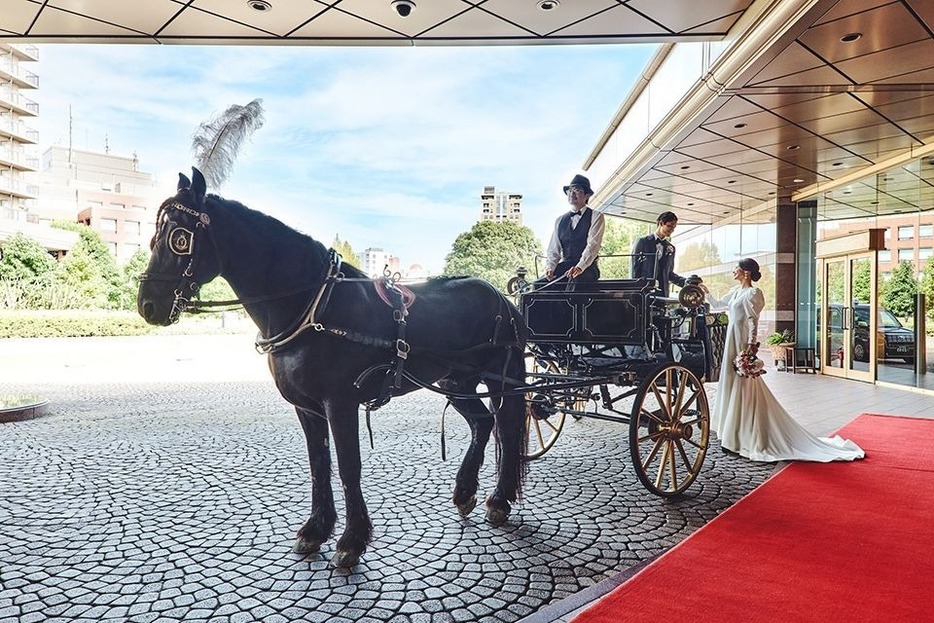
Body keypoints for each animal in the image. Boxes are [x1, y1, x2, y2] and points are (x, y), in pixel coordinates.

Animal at [136, 168, 532, 568]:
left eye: (179, 238)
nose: (147, 305)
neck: (312, 306)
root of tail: (502, 297)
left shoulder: (340, 403)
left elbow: (347, 465)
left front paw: (352, 539)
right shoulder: (307, 407)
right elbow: (319, 464)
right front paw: (316, 528)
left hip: (502, 378)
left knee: (506, 427)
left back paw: (499, 499)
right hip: (456, 381)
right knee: (482, 423)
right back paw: (465, 491)